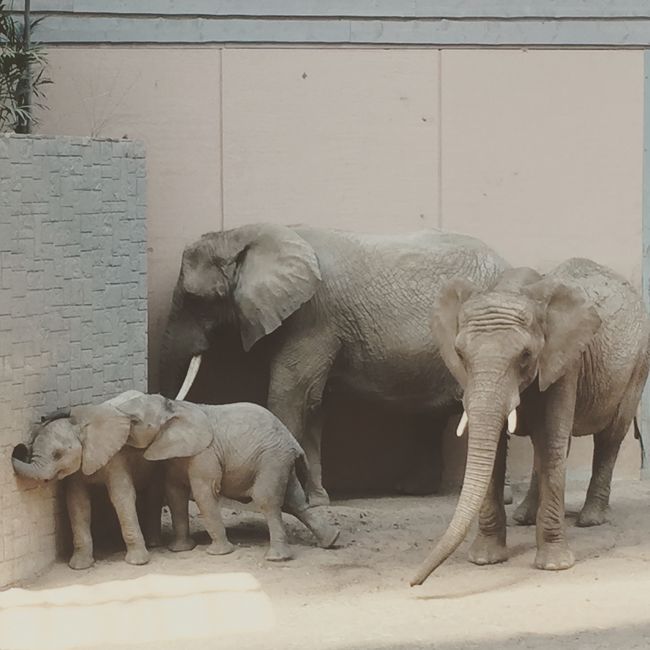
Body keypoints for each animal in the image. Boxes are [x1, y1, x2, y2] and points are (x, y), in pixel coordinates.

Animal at [114, 392, 342, 560]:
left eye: (135, 421)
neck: (175, 406)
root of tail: (294, 443)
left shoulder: (205, 453)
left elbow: (204, 493)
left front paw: (218, 553)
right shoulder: (176, 453)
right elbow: (175, 493)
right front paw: (180, 549)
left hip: (272, 458)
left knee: (267, 500)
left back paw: (277, 558)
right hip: (281, 460)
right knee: (294, 501)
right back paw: (331, 540)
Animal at [159, 223, 508, 502]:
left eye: (195, 299)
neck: (245, 233)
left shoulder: (313, 317)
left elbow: (291, 396)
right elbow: (314, 403)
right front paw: (318, 500)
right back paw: (412, 490)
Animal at [410, 260, 648, 584]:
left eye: (525, 355)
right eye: (460, 354)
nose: (414, 582)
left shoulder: (565, 362)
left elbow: (552, 441)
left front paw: (555, 565)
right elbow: (497, 447)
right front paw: (485, 560)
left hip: (637, 366)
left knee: (609, 437)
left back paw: (590, 519)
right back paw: (524, 517)